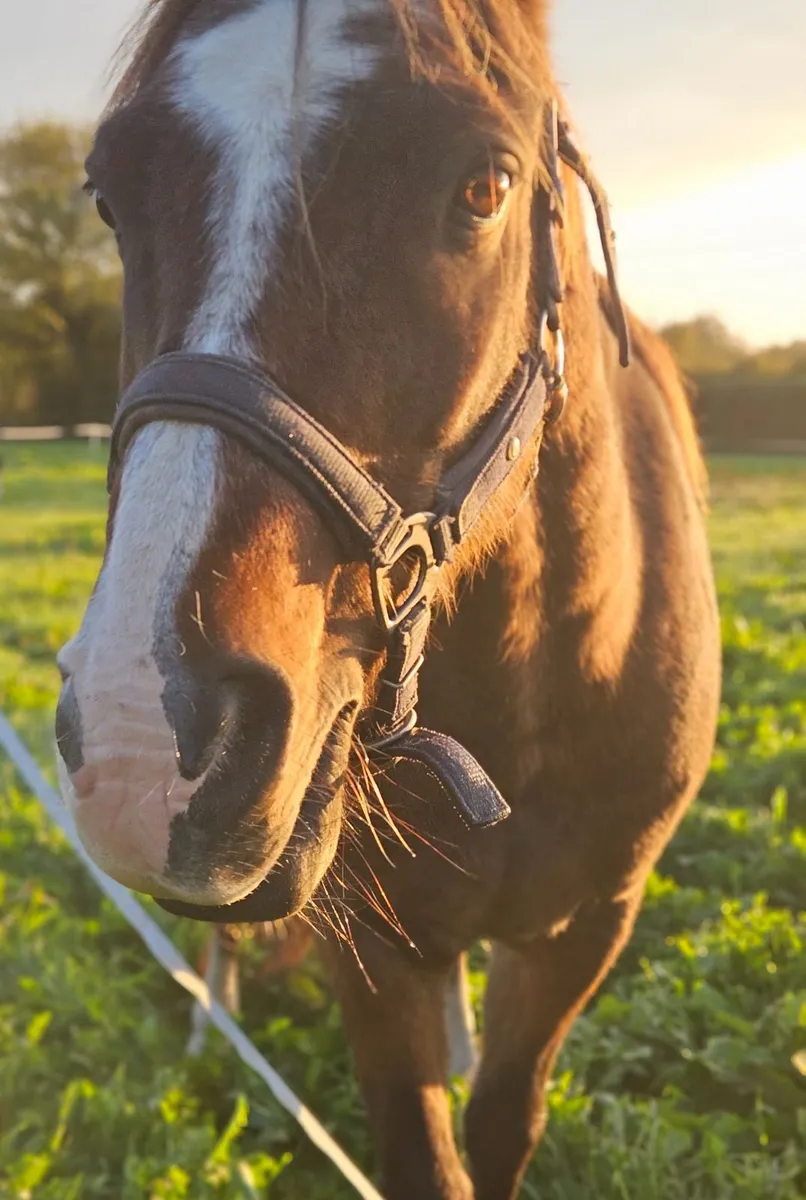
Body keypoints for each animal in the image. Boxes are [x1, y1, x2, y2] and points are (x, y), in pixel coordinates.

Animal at [54, 2, 721, 1196]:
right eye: (108, 195)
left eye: (483, 186)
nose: (141, 740)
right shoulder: (367, 954)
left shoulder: (583, 933)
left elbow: (502, 1119)